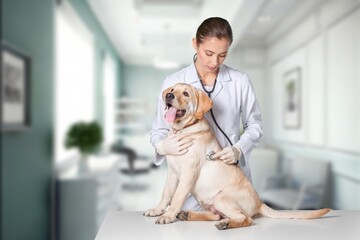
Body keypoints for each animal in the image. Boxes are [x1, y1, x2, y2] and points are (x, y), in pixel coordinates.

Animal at [145, 83, 330, 231]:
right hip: (211, 202)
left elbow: (176, 197)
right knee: (217, 215)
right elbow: (166, 193)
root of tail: (260, 203)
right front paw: (157, 210)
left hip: (221, 197)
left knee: (244, 218)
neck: (183, 130)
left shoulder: (189, 172)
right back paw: (190, 215)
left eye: (185, 93)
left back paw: (225, 224)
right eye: (172, 90)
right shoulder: (172, 172)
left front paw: (167, 215)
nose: (168, 96)